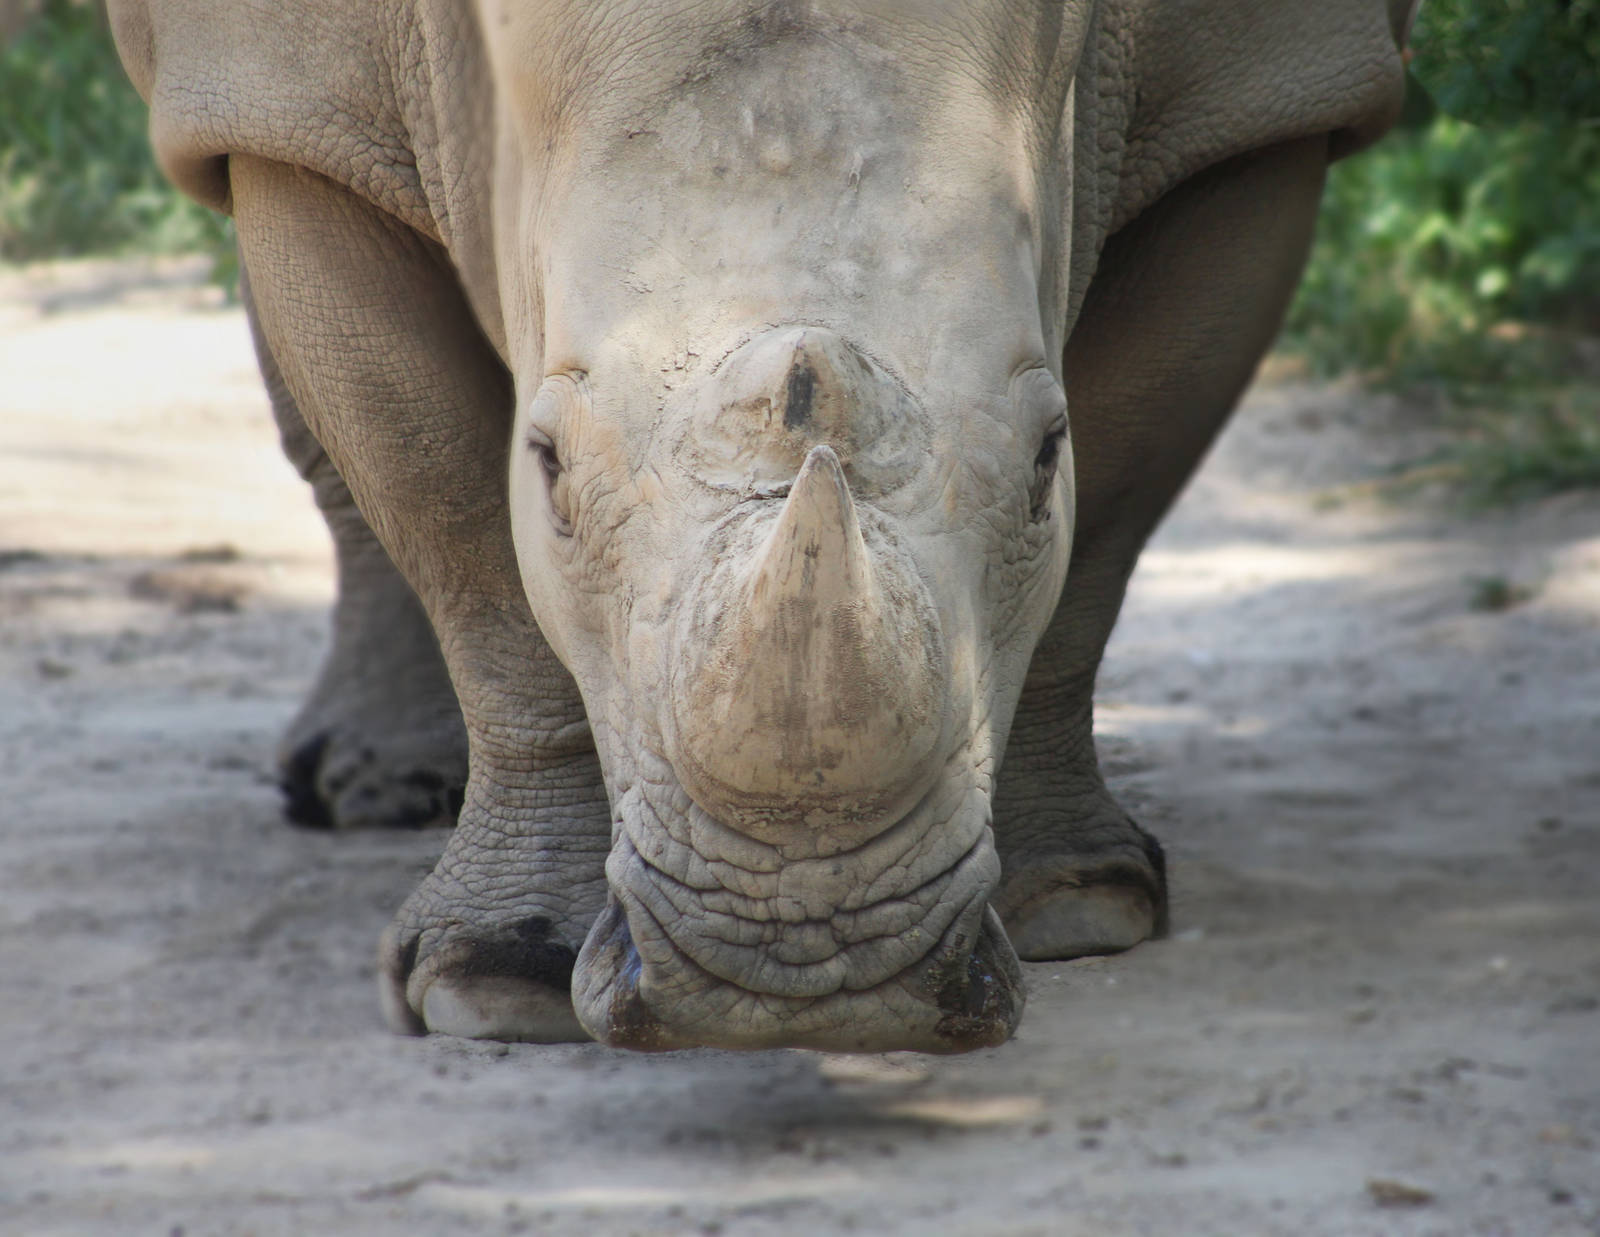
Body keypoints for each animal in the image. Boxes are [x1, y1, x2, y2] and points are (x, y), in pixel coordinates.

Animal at [109, 0, 1413, 1053]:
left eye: (1048, 457)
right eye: (549, 468)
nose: (801, 972)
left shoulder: (1261, 98)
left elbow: (1113, 515)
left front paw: (1078, 904)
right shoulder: (286, 98)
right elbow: (460, 524)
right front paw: (498, 982)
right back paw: (373, 796)